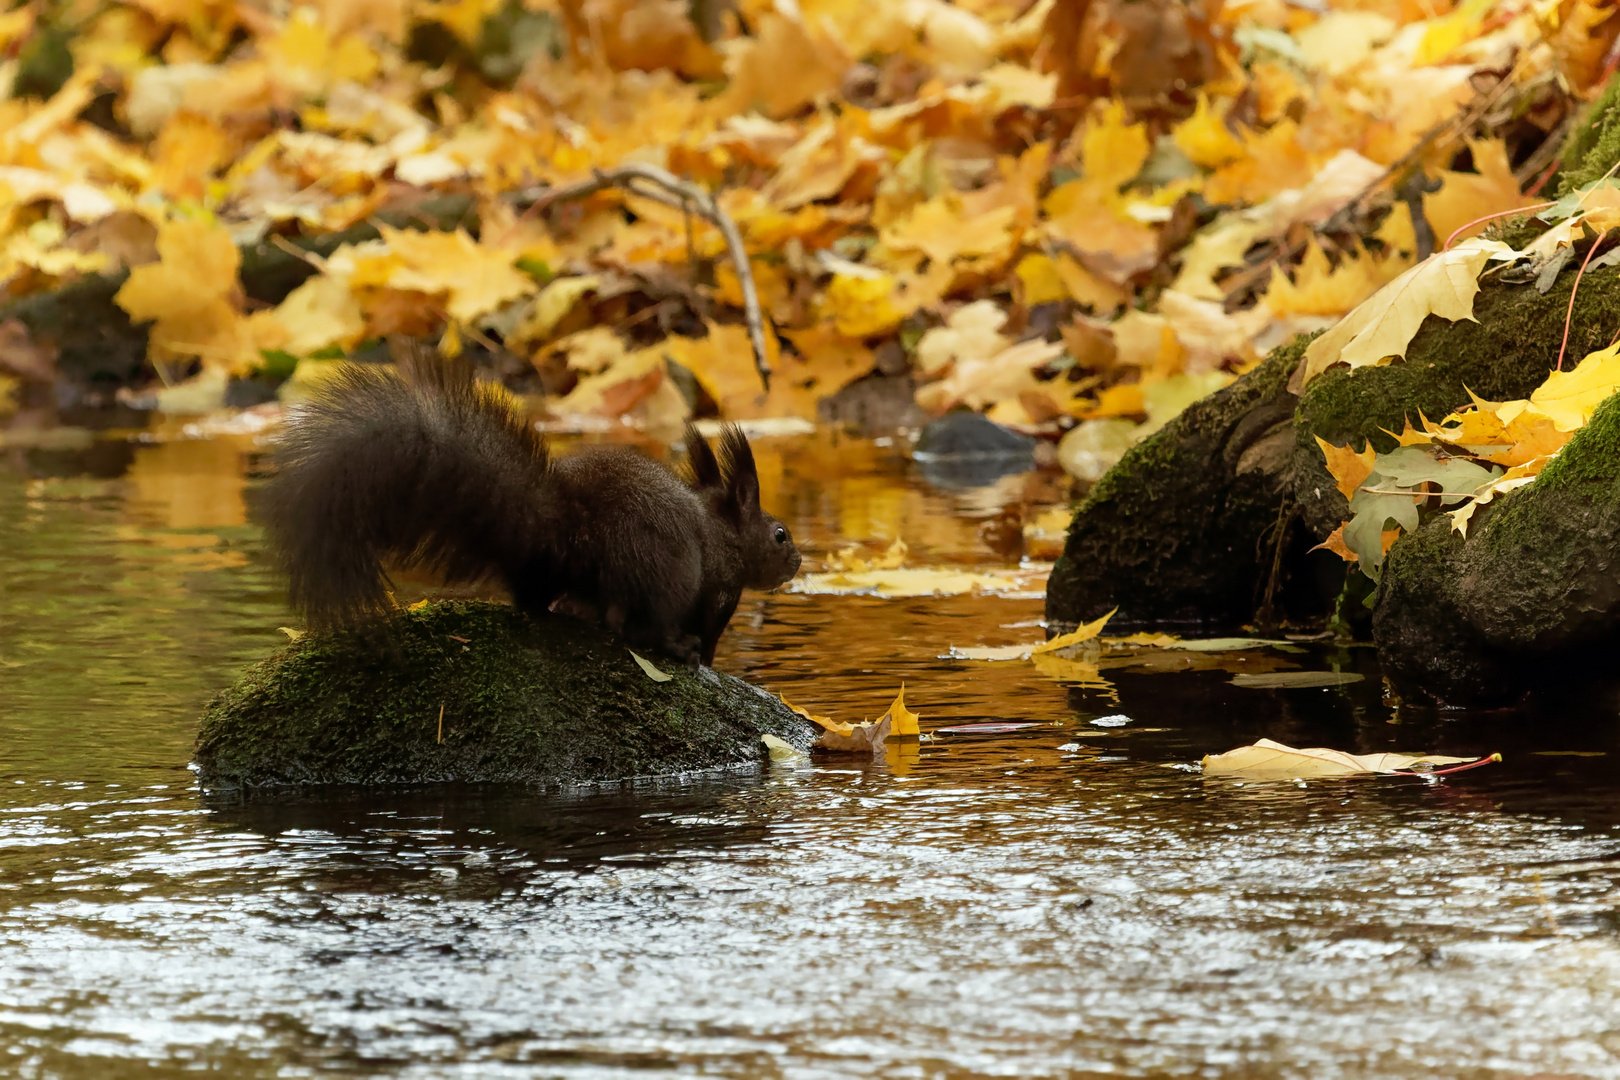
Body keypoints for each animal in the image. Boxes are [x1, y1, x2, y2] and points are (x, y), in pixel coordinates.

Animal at [257, 346, 803, 667]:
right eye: (779, 534)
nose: (798, 561)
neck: (725, 533)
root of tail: (572, 529)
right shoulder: (718, 594)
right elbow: (708, 634)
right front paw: (704, 658)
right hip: (669, 571)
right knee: (636, 624)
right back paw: (672, 646)